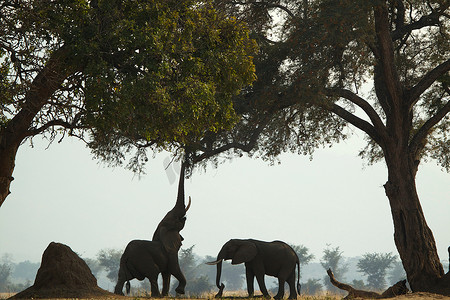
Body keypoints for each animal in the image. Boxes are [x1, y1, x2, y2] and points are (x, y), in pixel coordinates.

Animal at [115, 159, 191, 296]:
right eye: (174, 219)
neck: (161, 228)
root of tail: (126, 254)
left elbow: (167, 273)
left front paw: (167, 295)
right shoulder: (171, 249)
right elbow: (173, 267)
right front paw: (179, 291)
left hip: (125, 263)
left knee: (122, 276)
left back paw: (119, 294)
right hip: (143, 259)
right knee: (153, 273)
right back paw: (156, 296)